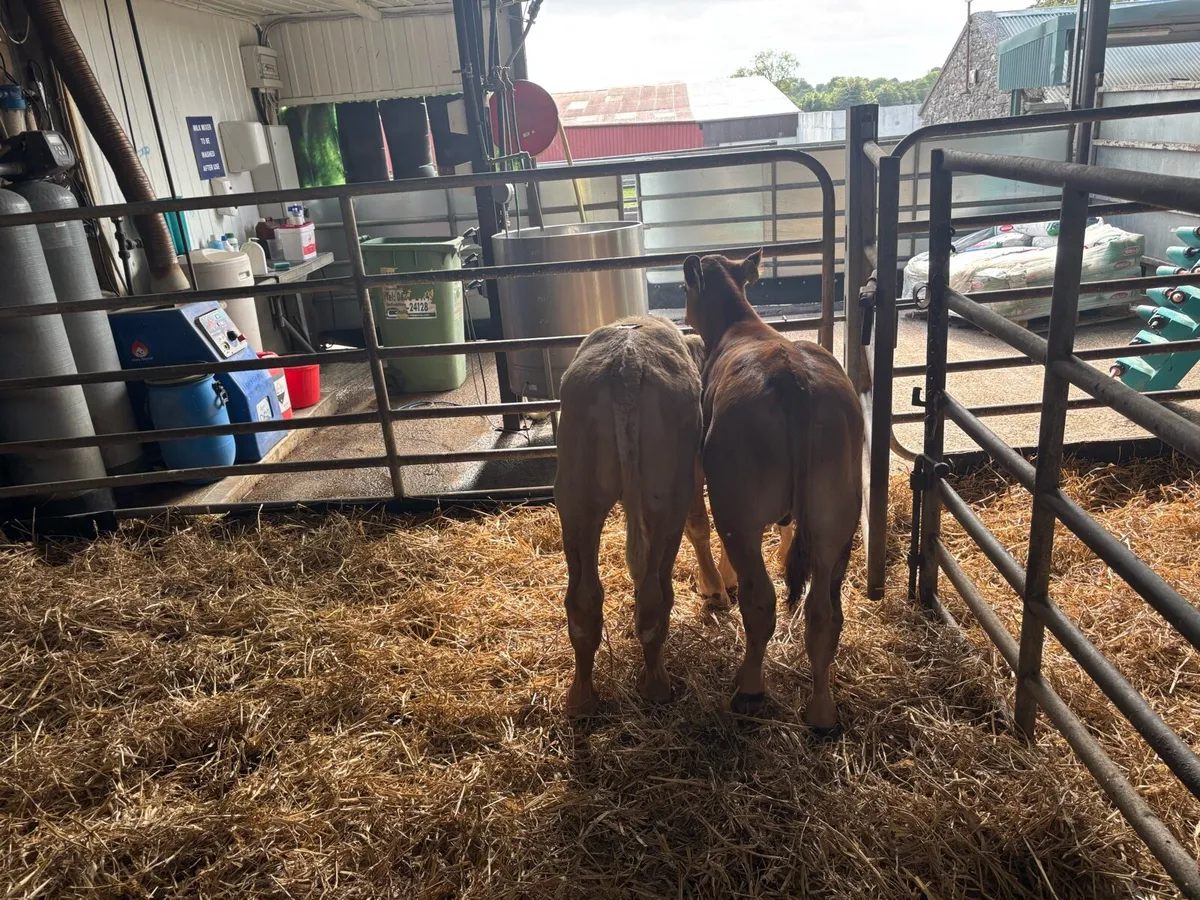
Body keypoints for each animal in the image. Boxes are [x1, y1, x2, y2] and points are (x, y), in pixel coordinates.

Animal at [555, 316, 719, 717]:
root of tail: (626, 366)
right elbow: (699, 524)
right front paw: (716, 588)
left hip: (576, 496)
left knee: (583, 602)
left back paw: (581, 699)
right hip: (666, 497)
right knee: (653, 596)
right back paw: (657, 686)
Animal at [684, 249, 863, 734]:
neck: (740, 324)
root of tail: (793, 379)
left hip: (739, 510)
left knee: (760, 601)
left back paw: (749, 690)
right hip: (836, 519)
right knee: (824, 612)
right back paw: (822, 712)